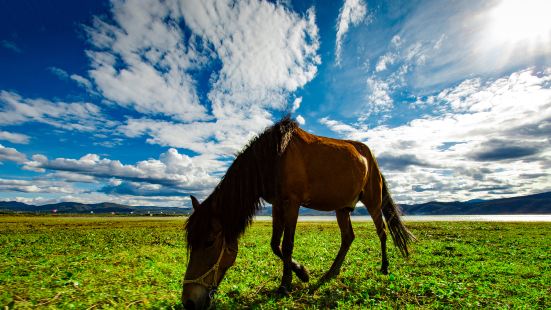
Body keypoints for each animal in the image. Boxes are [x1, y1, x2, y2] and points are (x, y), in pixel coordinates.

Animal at [183, 117, 416, 310]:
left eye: (209, 242)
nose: (189, 302)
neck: (273, 159)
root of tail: (371, 158)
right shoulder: (278, 205)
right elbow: (275, 245)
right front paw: (302, 273)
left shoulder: (292, 203)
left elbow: (287, 245)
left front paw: (286, 284)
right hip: (342, 208)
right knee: (348, 237)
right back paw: (331, 273)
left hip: (373, 202)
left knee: (382, 232)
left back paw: (384, 267)